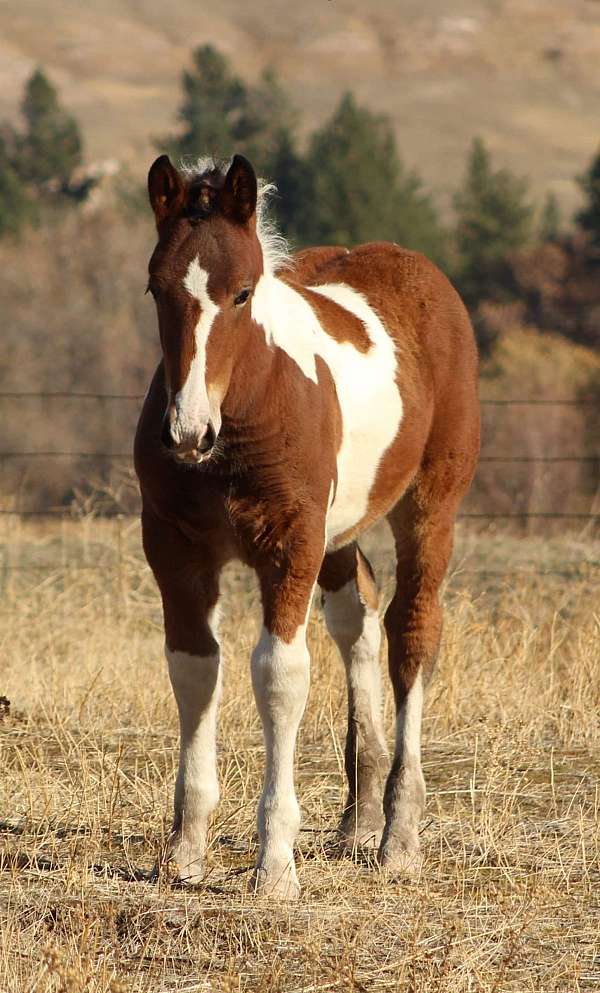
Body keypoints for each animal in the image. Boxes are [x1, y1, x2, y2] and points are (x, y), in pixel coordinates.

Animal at [134, 149, 480, 900]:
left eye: (242, 293)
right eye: (155, 289)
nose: (187, 432)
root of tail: (421, 270)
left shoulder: (289, 542)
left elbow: (279, 674)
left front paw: (274, 864)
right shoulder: (175, 549)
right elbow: (193, 668)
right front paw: (185, 852)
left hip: (430, 502)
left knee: (412, 629)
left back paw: (399, 835)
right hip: (338, 531)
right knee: (359, 616)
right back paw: (358, 821)